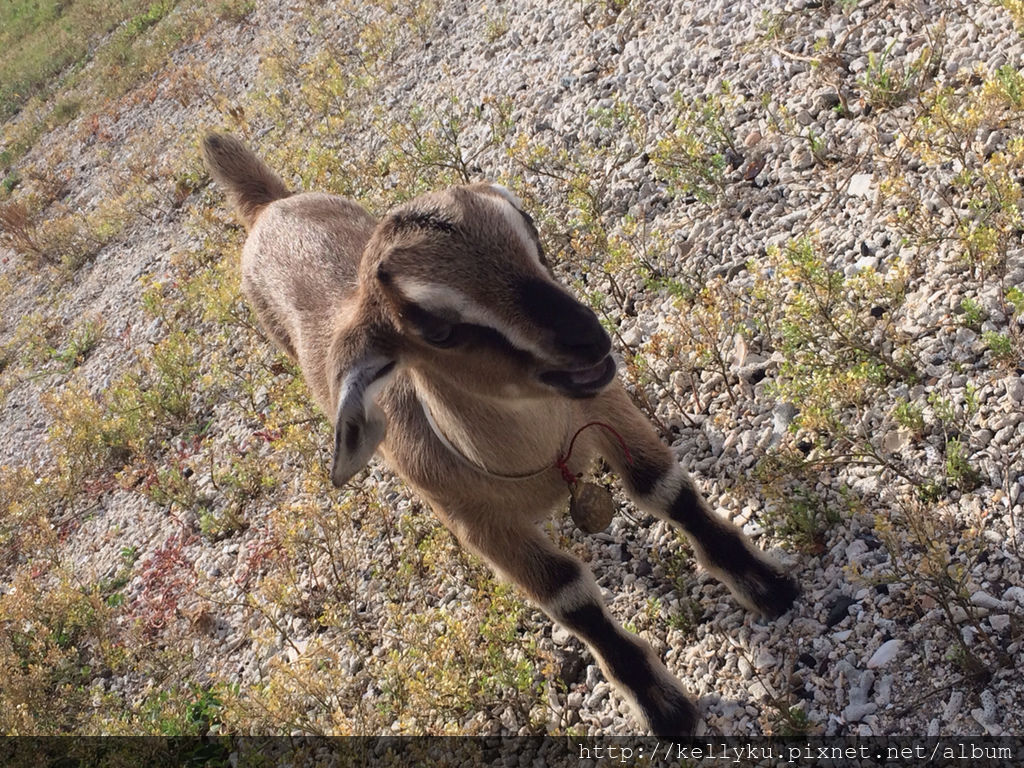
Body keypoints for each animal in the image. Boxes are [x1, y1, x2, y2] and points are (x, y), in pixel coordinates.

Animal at [201, 132, 799, 738]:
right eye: (437, 327)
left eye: (529, 231)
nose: (589, 339)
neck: (543, 456)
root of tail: (270, 205)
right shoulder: (478, 521)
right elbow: (569, 597)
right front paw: (664, 708)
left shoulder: (609, 409)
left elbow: (666, 490)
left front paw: (768, 586)